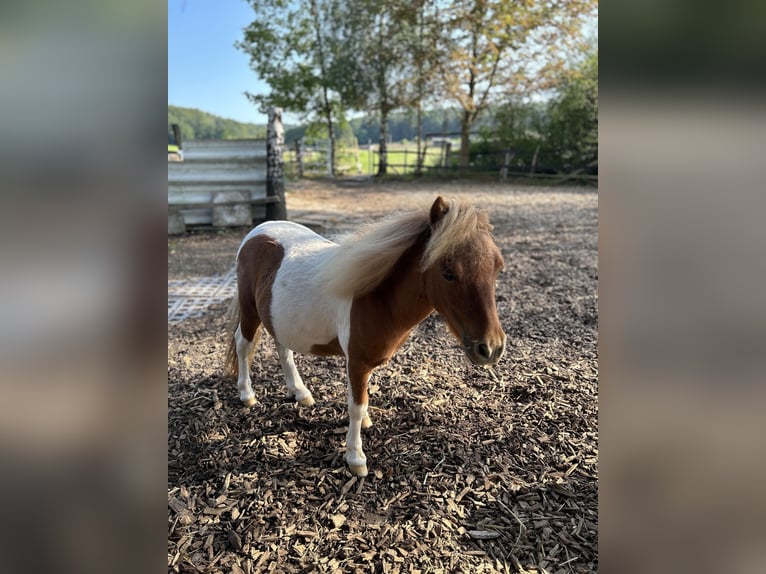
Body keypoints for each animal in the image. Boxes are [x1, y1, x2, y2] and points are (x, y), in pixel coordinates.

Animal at [225, 198, 508, 476]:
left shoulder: (364, 364)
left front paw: (366, 423)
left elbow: (363, 397)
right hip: (250, 311)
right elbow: (356, 405)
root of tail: (256, 232)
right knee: (243, 345)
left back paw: (300, 392)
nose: (491, 348)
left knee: (284, 350)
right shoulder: (357, 363)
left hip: (278, 319)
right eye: (448, 273)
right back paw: (247, 395)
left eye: (497, 269)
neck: (376, 297)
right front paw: (355, 457)